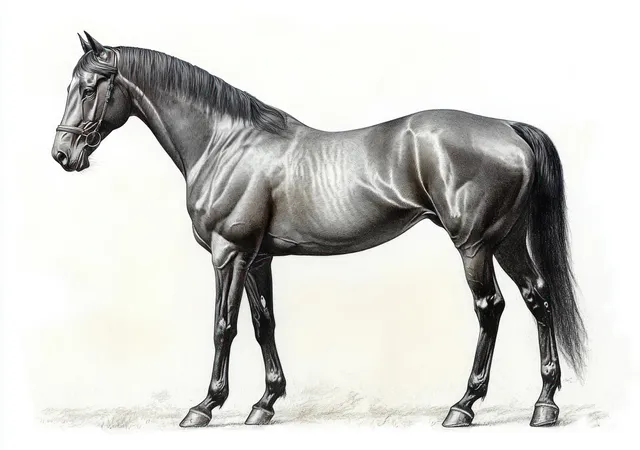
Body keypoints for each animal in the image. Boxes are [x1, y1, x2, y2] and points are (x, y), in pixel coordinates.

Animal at [51, 32, 586, 428]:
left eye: (87, 88)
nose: (62, 155)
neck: (225, 143)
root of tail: (507, 127)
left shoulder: (229, 253)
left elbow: (224, 326)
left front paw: (204, 406)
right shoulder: (258, 258)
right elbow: (263, 324)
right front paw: (264, 403)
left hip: (474, 245)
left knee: (490, 308)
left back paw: (464, 405)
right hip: (507, 240)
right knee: (538, 298)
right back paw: (545, 405)